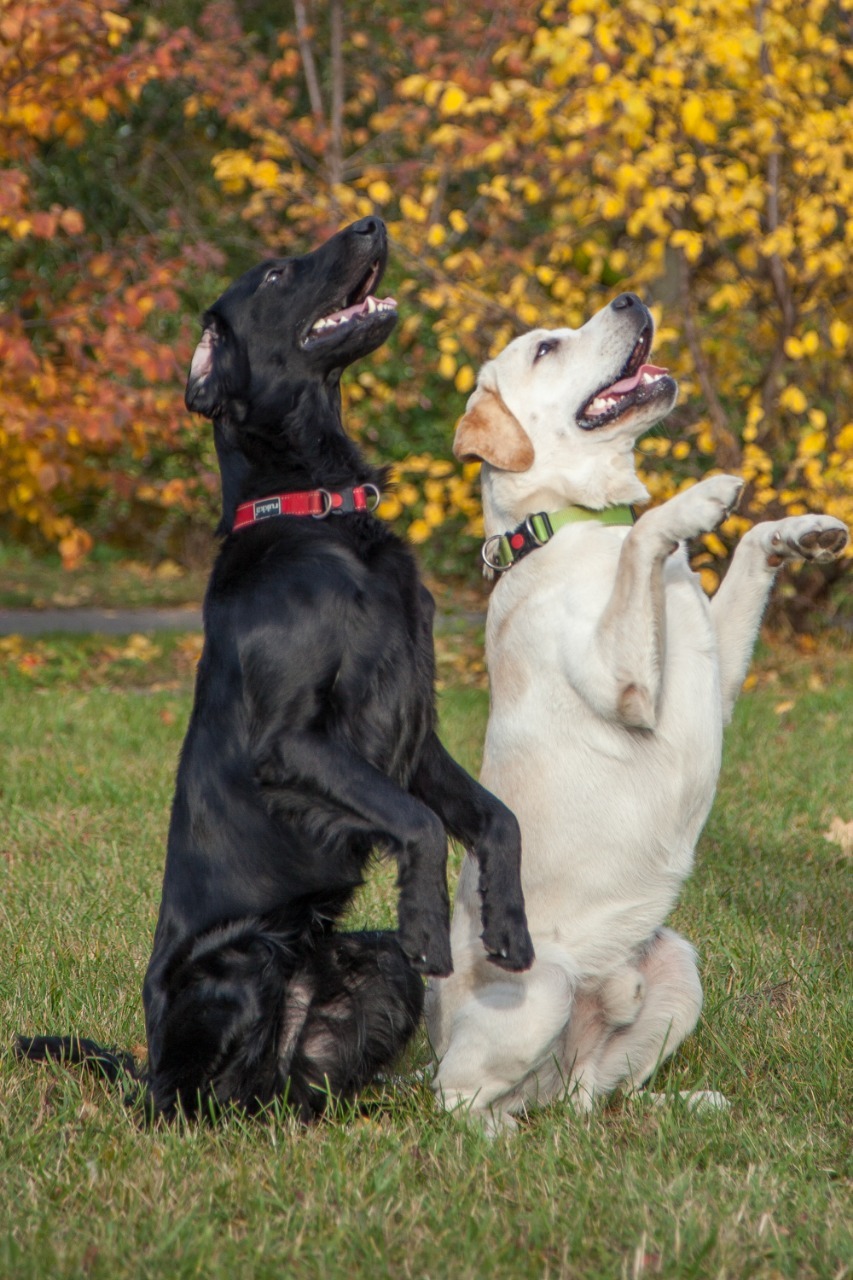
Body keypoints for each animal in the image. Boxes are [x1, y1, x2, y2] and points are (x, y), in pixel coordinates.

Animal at [16, 215, 527, 1116]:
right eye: (279, 273)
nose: (370, 222)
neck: (316, 516)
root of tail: (147, 1064)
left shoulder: (417, 739)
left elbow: (497, 819)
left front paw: (508, 927)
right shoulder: (293, 743)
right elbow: (419, 824)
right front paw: (432, 926)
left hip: (370, 973)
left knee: (296, 1088)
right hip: (243, 964)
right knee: (196, 1101)